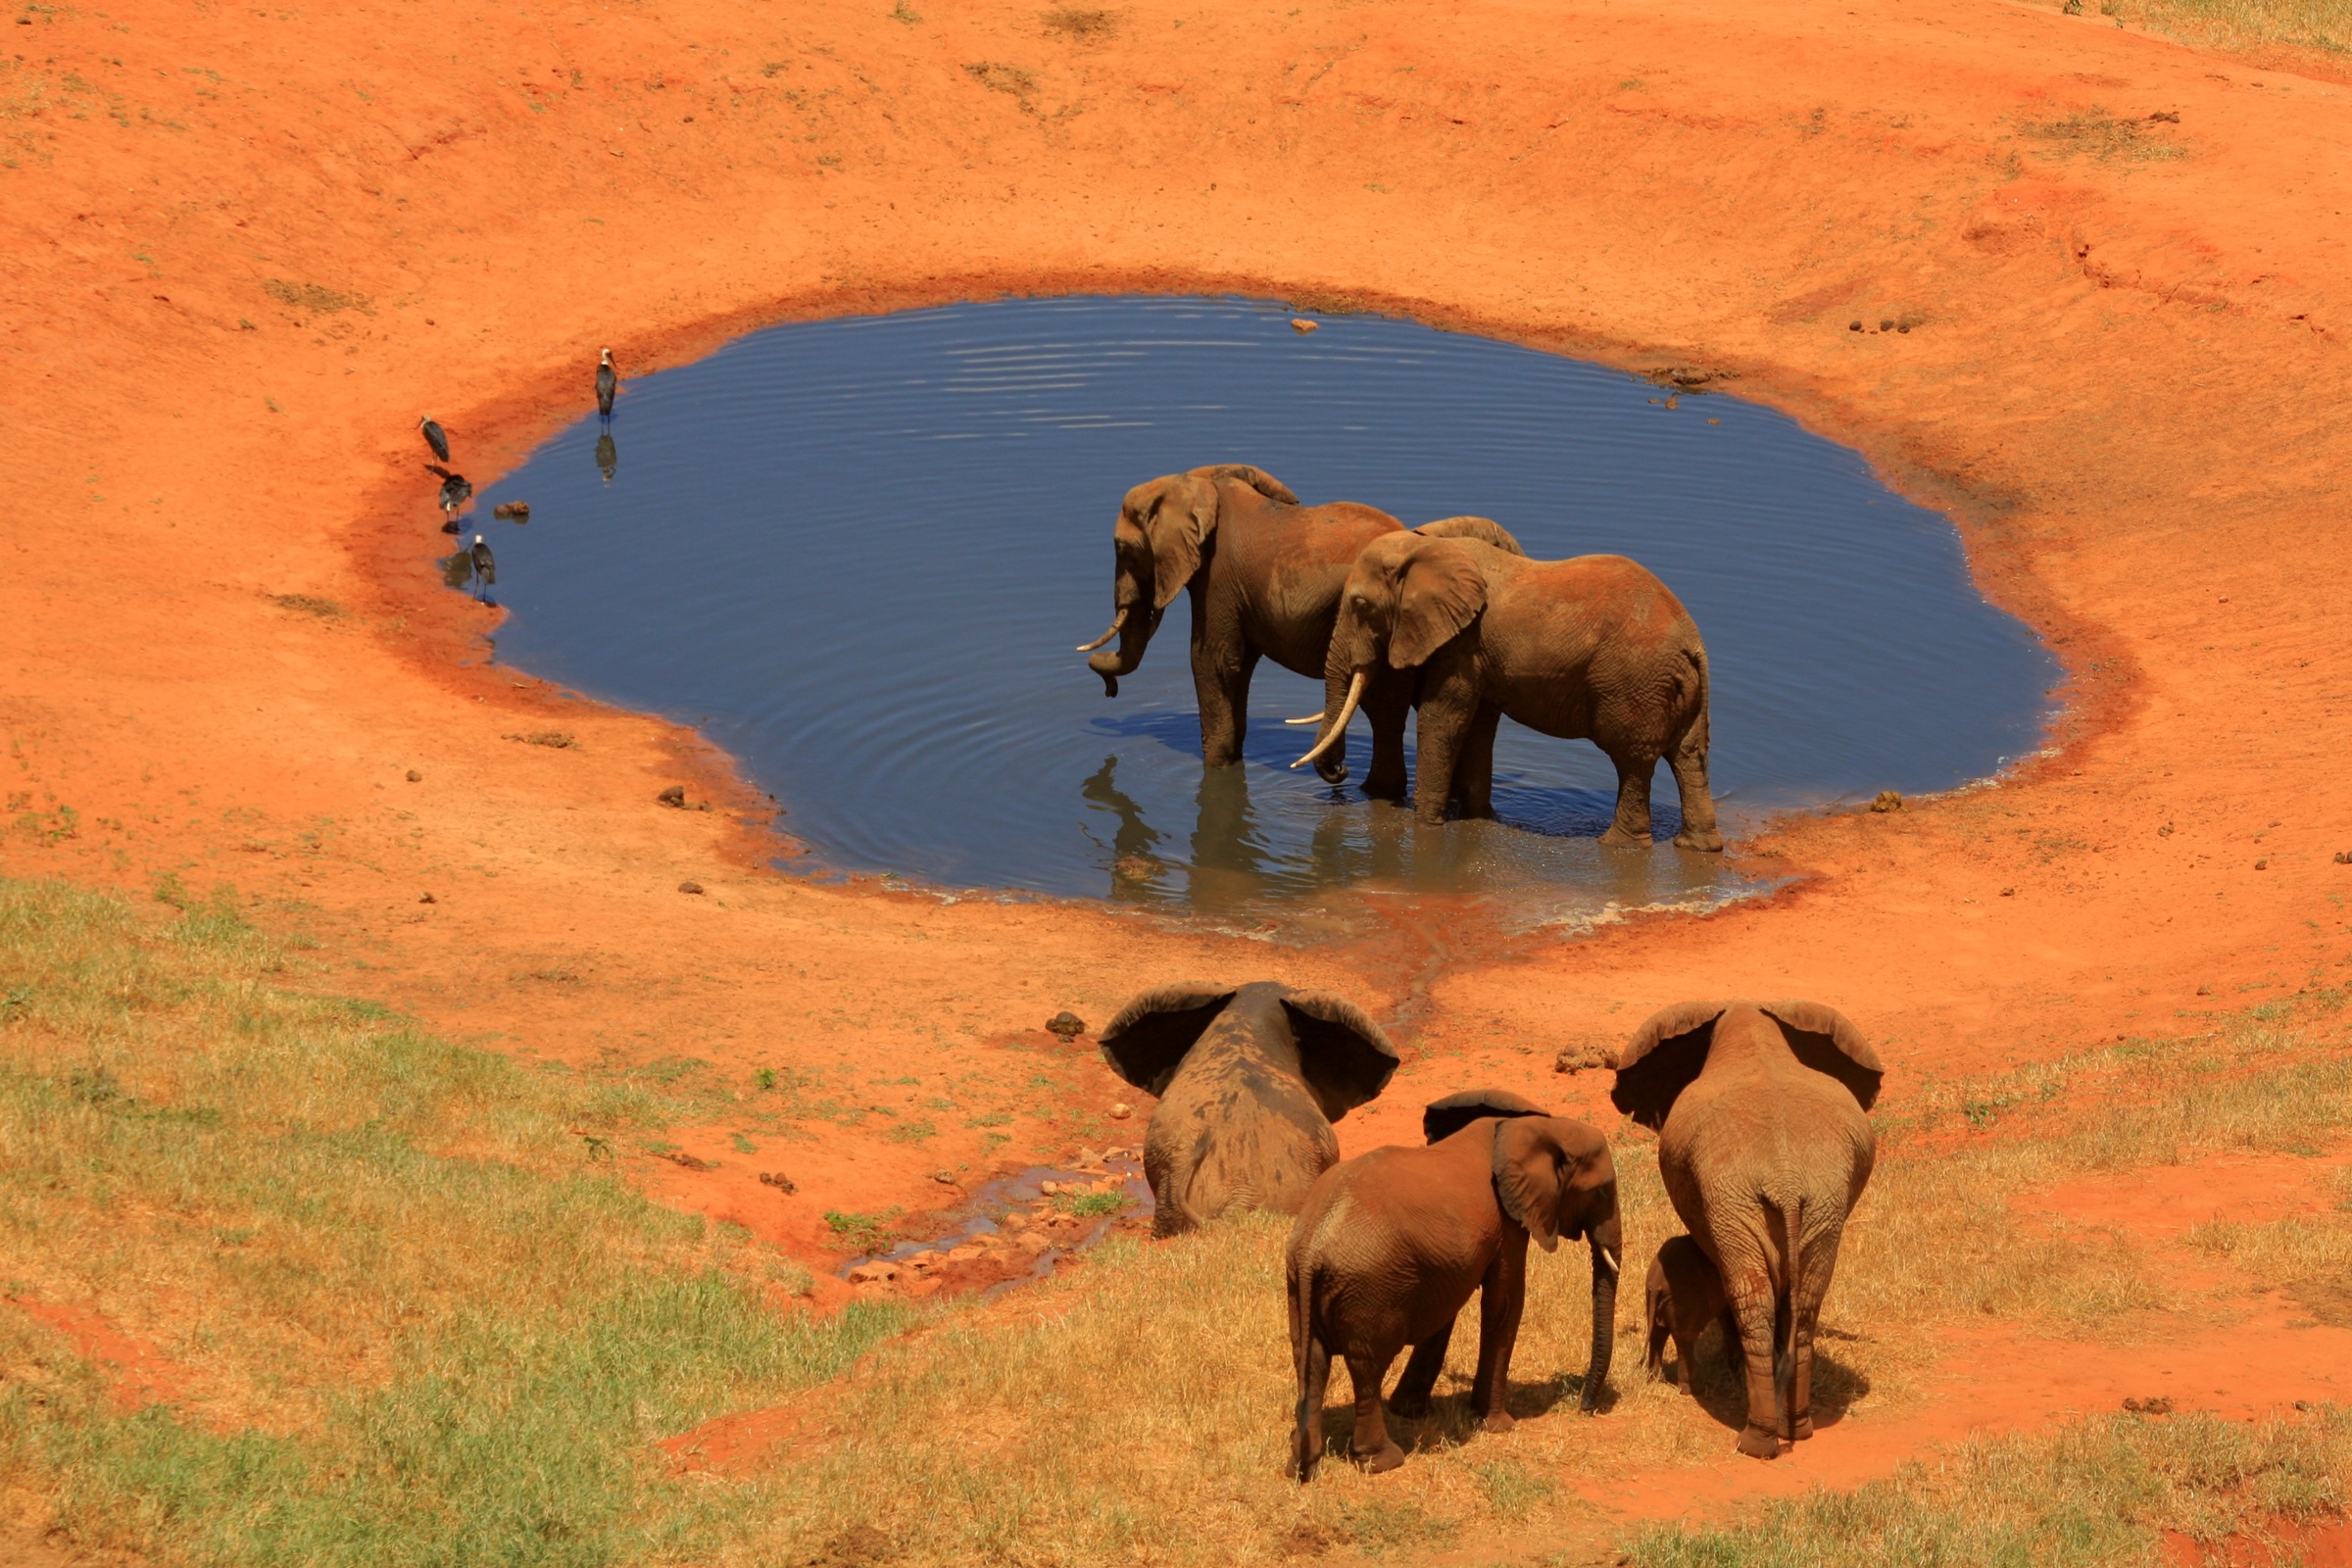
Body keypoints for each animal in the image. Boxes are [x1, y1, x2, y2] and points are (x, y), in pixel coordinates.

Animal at [1078, 463, 1518, 799]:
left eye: (1123, 549)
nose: (1108, 690)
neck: (1198, 481)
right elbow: (1240, 668)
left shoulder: (1218, 578)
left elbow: (1213, 662)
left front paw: (1217, 767)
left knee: (1383, 708)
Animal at [1285, 1112, 1621, 1480]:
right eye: (1602, 1190)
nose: (1585, 1406)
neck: (1534, 1126)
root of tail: (1313, 1246)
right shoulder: (1507, 1222)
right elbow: (1505, 1302)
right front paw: (1499, 1425)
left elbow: (1448, 1310)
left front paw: (1412, 1411)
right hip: (1371, 1290)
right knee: (1367, 1366)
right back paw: (1383, 1461)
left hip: (1301, 1286)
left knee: (1311, 1360)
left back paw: (1302, 1462)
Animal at [1292, 531, 1723, 851]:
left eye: (1359, 604)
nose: (1340, 772)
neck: (1427, 548)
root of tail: (1693, 642)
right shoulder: (1476, 649)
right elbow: (1479, 725)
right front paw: (1479, 819)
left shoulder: (1463, 642)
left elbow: (1443, 717)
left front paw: (1426, 824)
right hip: (1675, 688)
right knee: (1688, 755)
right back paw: (1697, 847)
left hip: (1633, 684)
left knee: (1632, 760)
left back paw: (1617, 845)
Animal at [1645, 1234, 1732, 1395]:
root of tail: (1656, 1281)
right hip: (1683, 1298)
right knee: (1685, 1340)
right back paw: (1691, 1390)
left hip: (1653, 1298)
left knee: (1657, 1332)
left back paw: (1655, 1380)